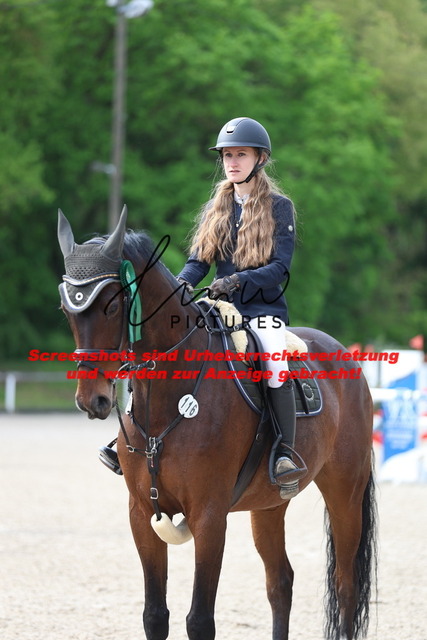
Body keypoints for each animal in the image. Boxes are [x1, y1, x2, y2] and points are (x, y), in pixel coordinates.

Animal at [57, 206, 377, 640]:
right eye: (66, 310)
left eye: (111, 305)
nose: (92, 401)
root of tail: (345, 355)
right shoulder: (141, 514)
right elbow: (155, 615)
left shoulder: (209, 517)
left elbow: (199, 619)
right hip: (269, 504)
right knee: (281, 581)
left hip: (345, 492)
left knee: (345, 585)